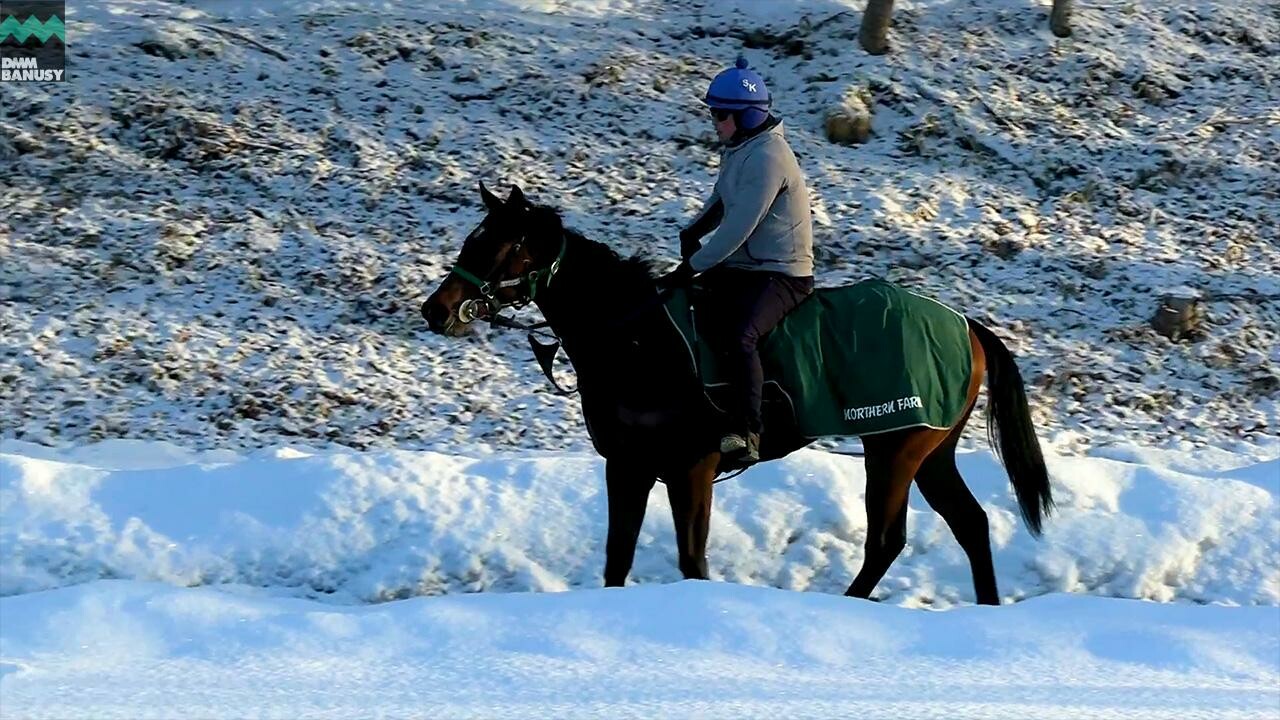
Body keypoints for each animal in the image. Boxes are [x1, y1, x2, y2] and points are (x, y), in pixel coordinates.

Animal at [419, 181, 1049, 602]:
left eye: (501, 247)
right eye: (473, 240)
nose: (435, 310)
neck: (637, 339)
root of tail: (965, 324)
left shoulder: (690, 467)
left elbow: (691, 560)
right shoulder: (628, 466)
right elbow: (617, 558)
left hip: (895, 448)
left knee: (886, 541)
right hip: (931, 452)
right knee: (970, 525)